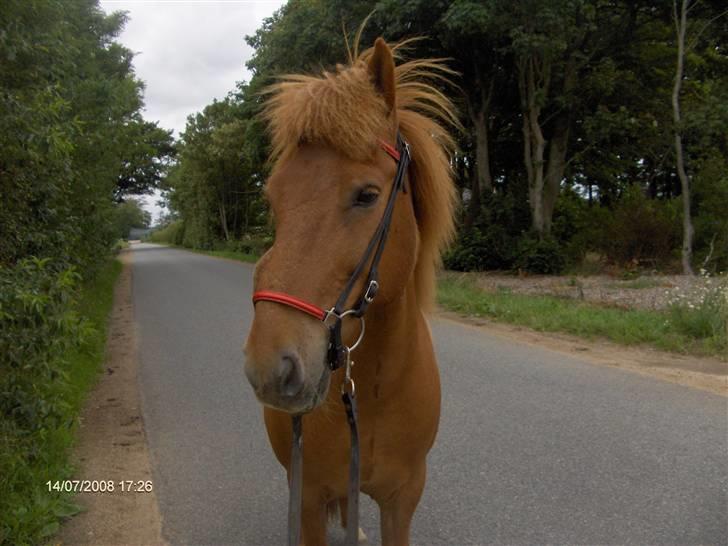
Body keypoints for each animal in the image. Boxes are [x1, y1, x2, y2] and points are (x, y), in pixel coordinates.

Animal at [246, 36, 460, 540]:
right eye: (274, 199)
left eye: (367, 195)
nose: (271, 367)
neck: (378, 392)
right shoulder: (306, 497)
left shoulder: (403, 500)